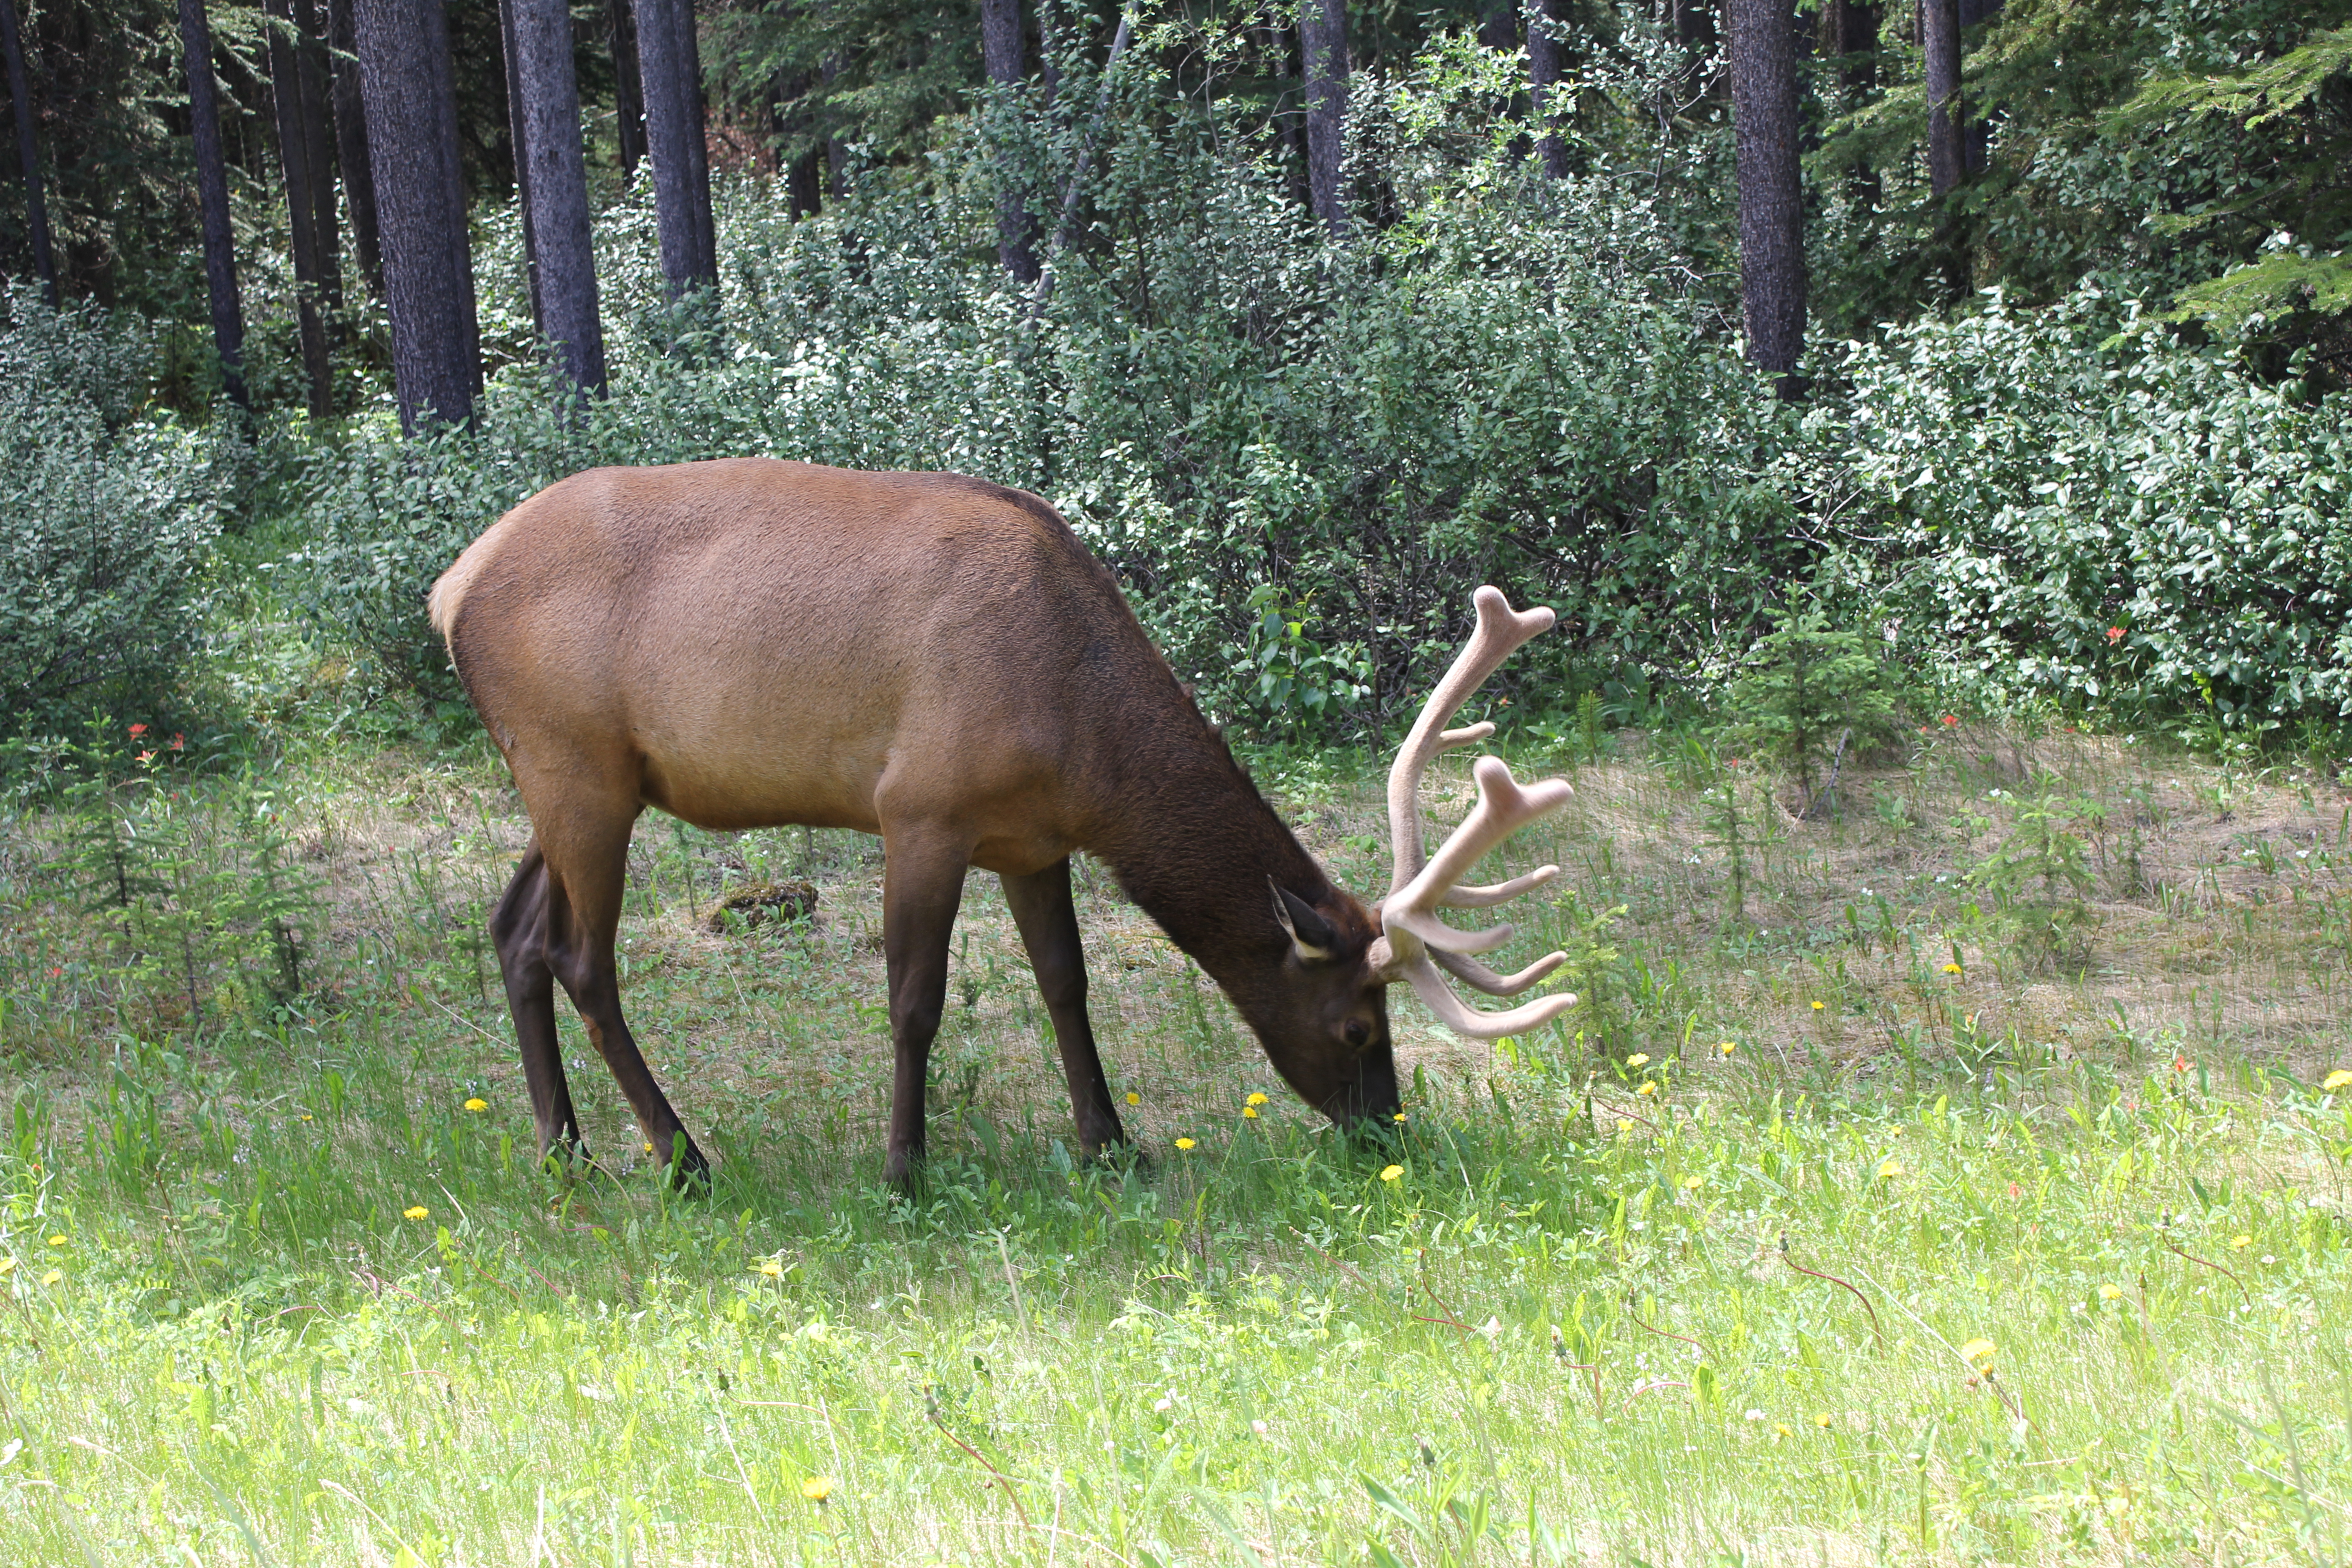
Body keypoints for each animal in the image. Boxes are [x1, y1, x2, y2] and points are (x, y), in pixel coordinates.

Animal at [437, 461, 1580, 1185]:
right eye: (1357, 1026)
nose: (1388, 1133)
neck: (1083, 746)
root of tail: (450, 590)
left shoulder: (1030, 842)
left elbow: (1065, 985)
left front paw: (1113, 1146)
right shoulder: (920, 808)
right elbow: (914, 1001)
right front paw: (904, 1169)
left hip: (582, 780)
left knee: (515, 928)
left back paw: (564, 1150)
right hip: (577, 768)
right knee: (583, 958)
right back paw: (683, 1160)